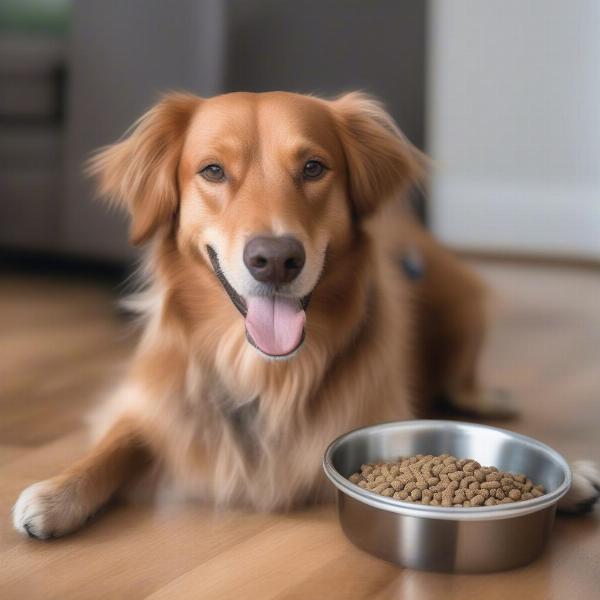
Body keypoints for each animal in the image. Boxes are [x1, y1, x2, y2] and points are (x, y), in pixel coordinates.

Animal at [11, 91, 596, 536]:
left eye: (314, 167)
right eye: (212, 171)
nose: (275, 259)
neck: (264, 372)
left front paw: (573, 478)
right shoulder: (155, 403)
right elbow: (117, 444)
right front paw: (56, 492)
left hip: (463, 300)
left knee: (463, 380)